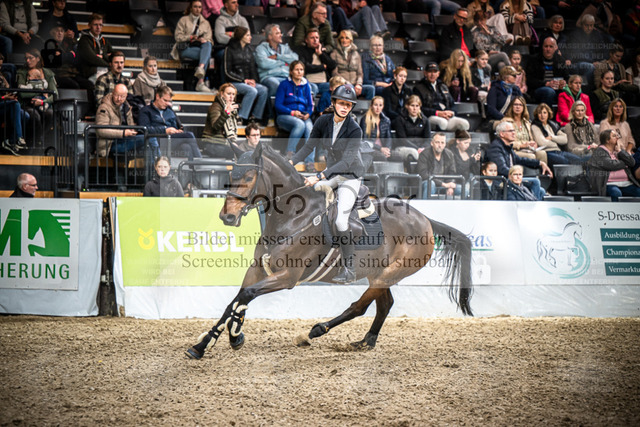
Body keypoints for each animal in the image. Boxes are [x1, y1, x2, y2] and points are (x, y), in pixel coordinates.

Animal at [186, 143, 473, 359]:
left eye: (248, 177)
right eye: (231, 176)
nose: (227, 216)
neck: (293, 217)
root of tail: (425, 219)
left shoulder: (288, 276)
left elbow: (245, 296)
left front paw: (231, 337)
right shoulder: (257, 270)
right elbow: (236, 301)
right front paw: (209, 343)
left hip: (392, 272)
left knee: (359, 307)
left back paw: (315, 331)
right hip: (379, 273)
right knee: (384, 305)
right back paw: (365, 341)